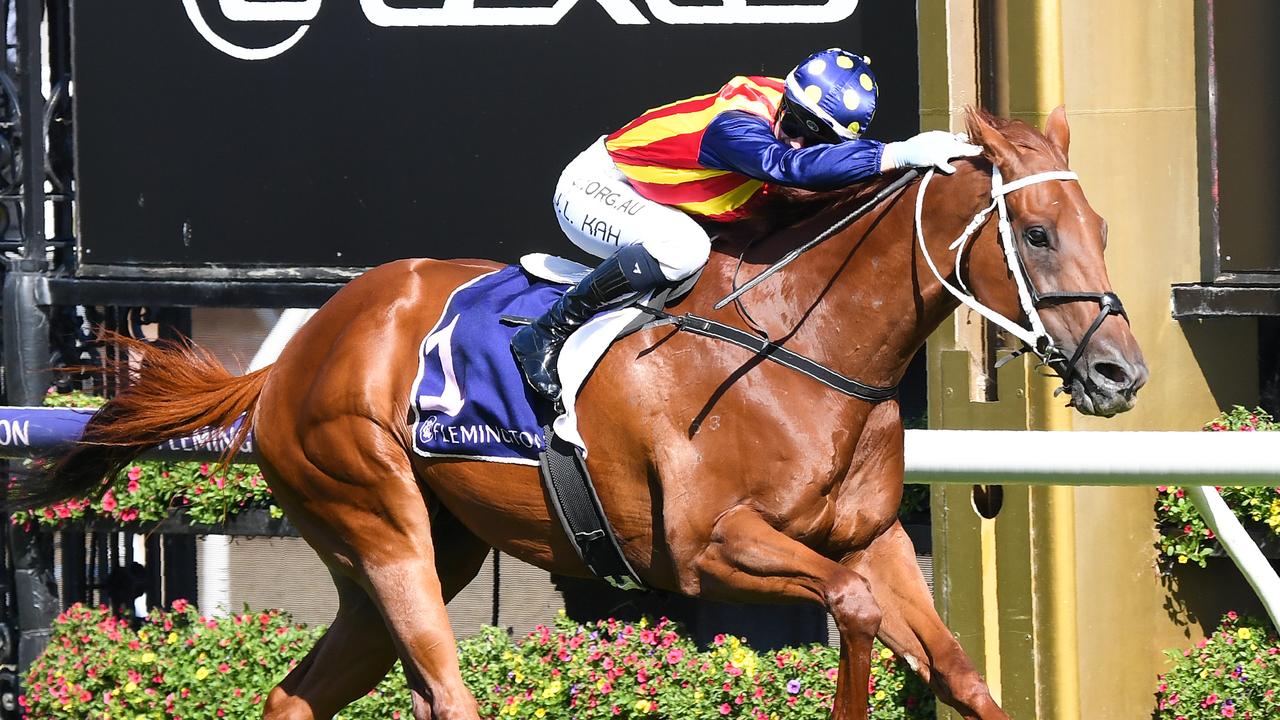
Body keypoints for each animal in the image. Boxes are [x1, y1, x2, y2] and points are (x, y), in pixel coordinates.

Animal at [7, 107, 1152, 717]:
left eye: (1100, 223)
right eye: (1037, 234)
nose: (1120, 373)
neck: (807, 349)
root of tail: (288, 364)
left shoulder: (870, 539)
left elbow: (955, 666)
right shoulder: (705, 547)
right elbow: (855, 615)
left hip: (404, 558)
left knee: (298, 696)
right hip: (379, 524)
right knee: (446, 691)